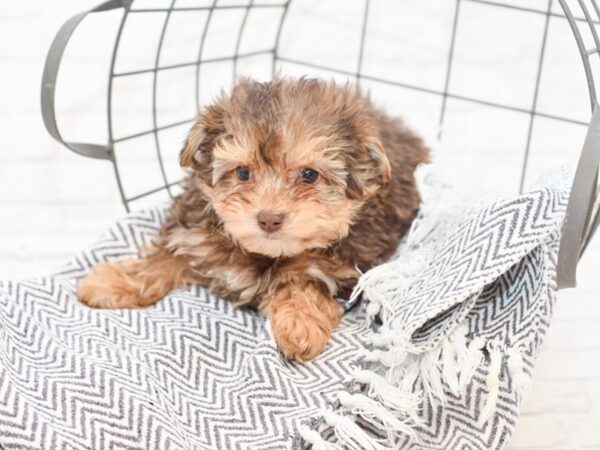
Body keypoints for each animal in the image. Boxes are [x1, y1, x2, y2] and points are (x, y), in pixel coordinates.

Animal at [78, 75, 426, 360]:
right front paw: (112, 282)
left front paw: (299, 323)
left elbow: (307, 282)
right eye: (243, 172)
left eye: (309, 175)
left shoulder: (342, 265)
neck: (265, 253)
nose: (269, 219)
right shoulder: (194, 234)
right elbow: (163, 257)